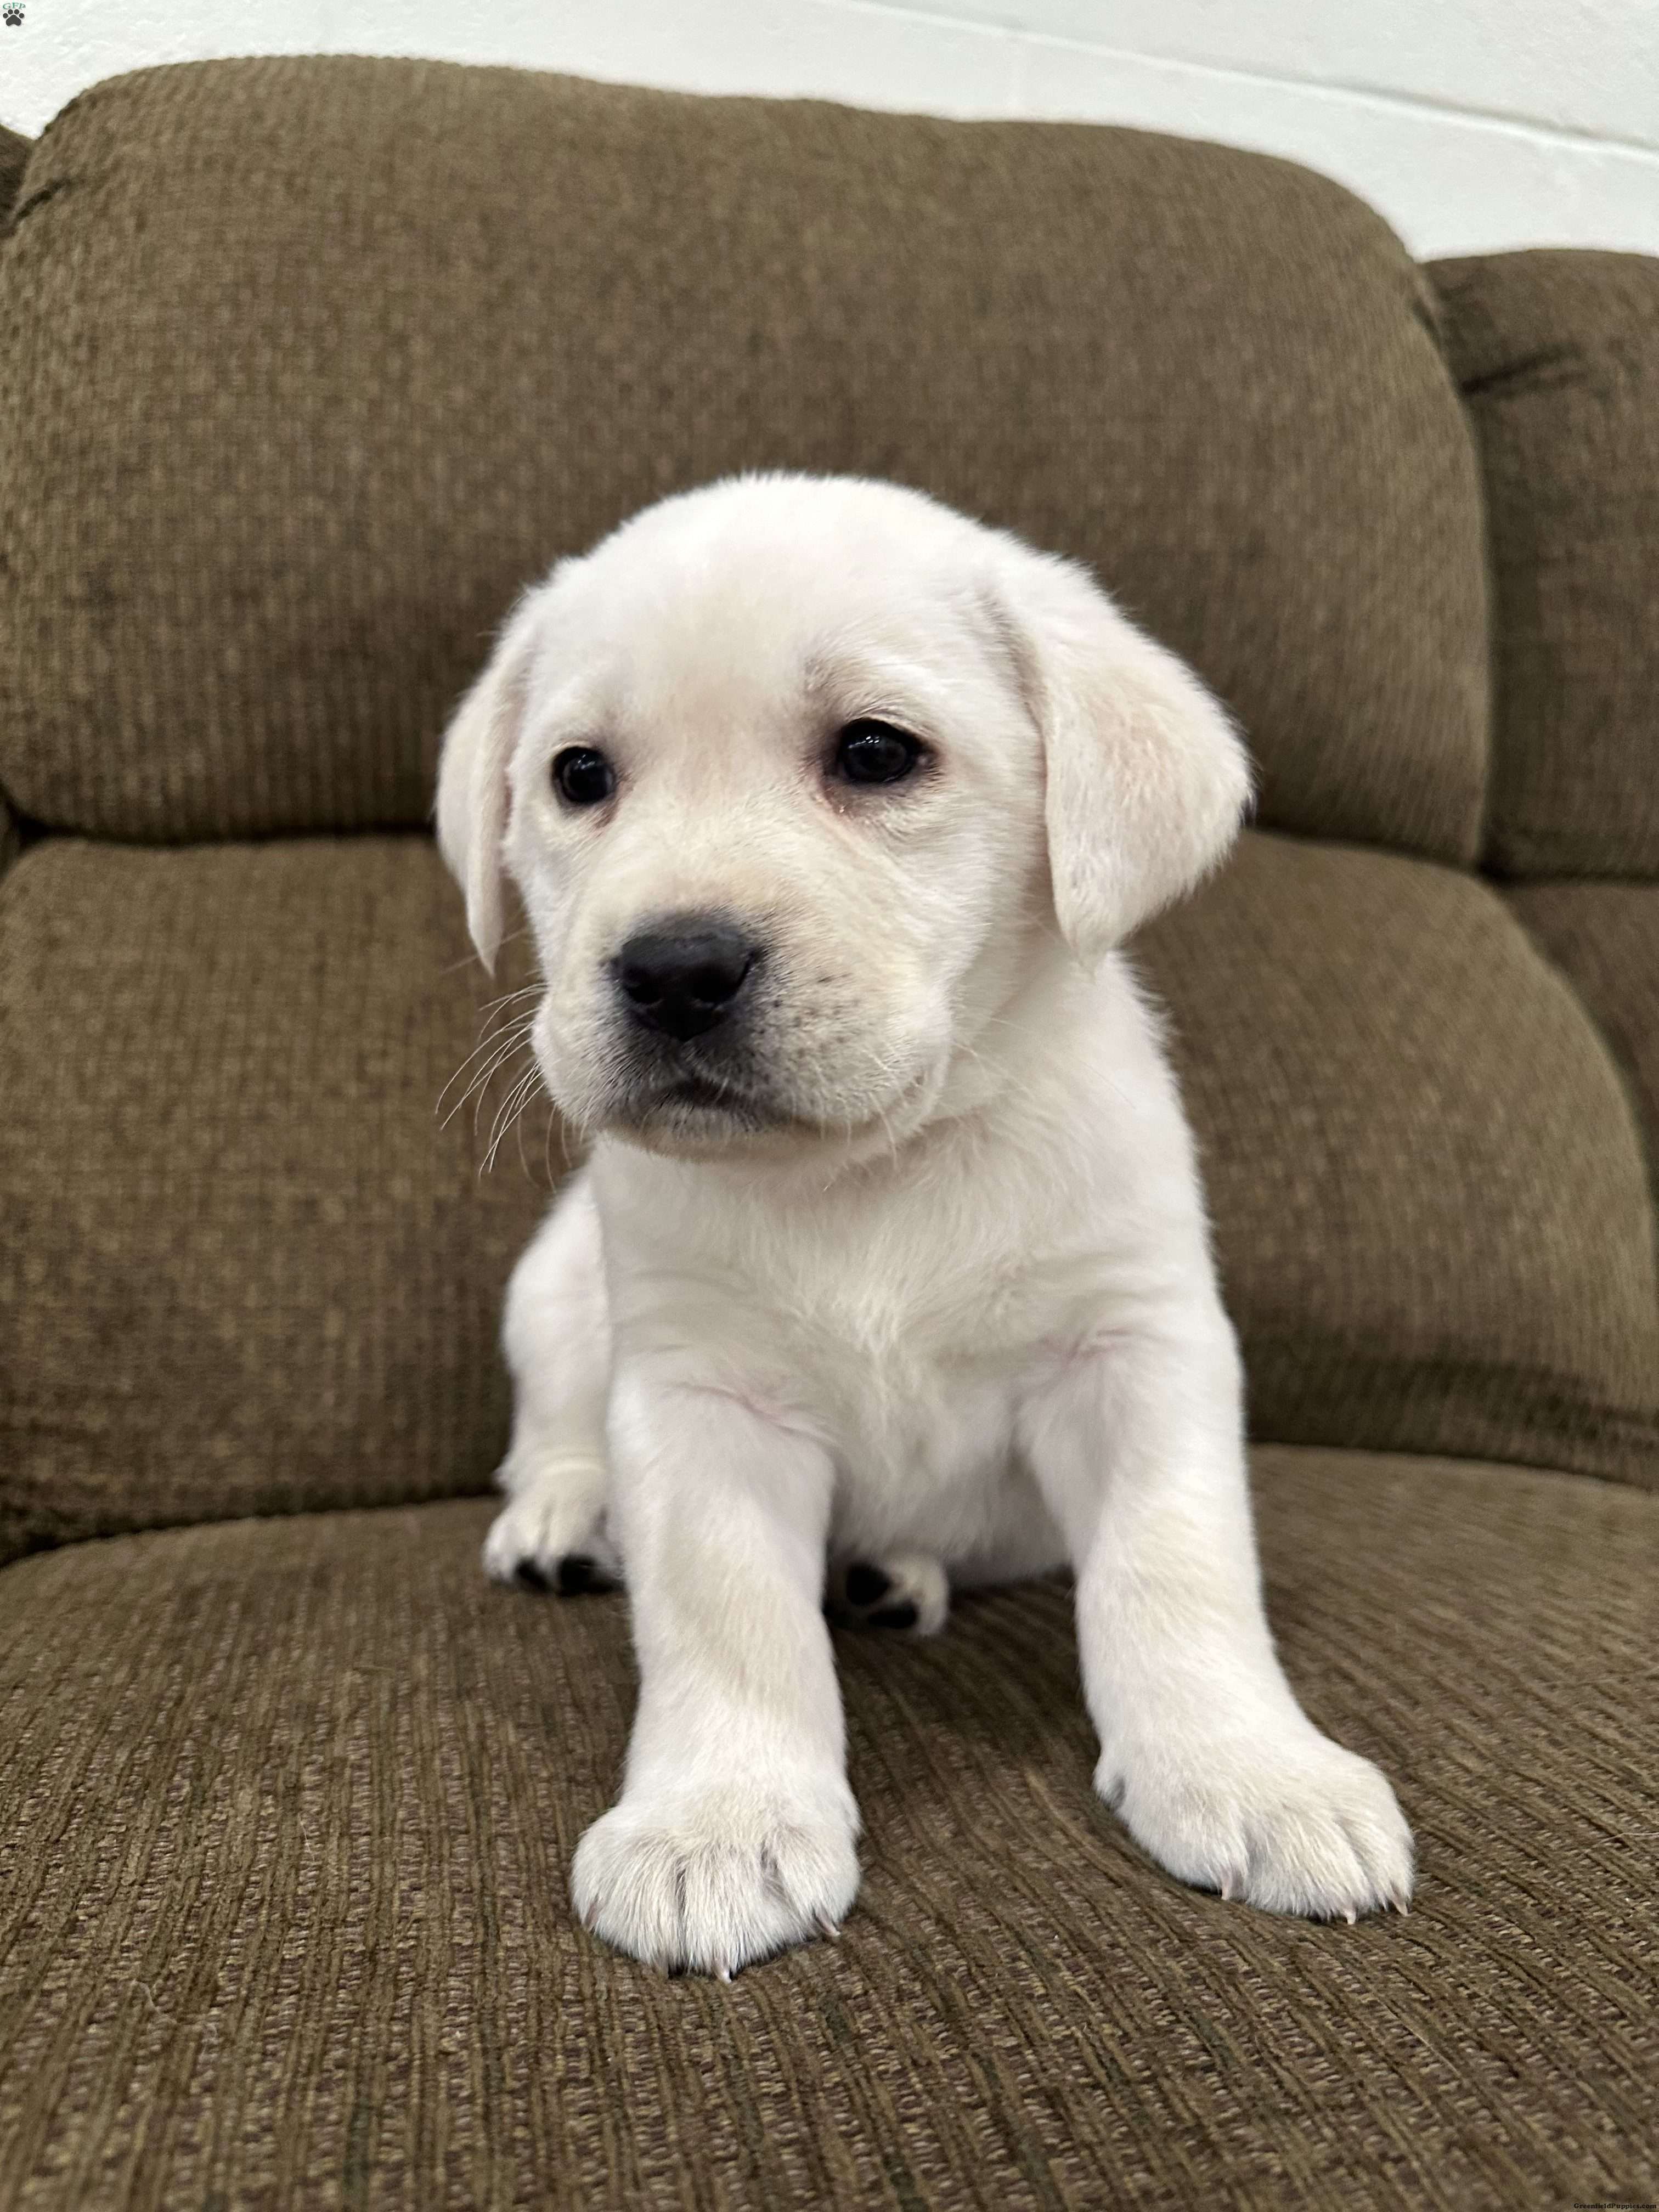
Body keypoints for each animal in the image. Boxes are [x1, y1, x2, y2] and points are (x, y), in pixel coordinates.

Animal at [436, 472, 1414, 1978]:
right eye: (580, 778)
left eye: (876, 754)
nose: (673, 968)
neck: (874, 1171)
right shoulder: (700, 1396)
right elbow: (725, 1616)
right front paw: (716, 1820)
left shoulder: (1137, 1351)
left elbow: (1176, 1572)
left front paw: (1251, 1770)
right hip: (551, 1285)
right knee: (548, 1426)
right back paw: (565, 1513)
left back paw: (890, 1574)